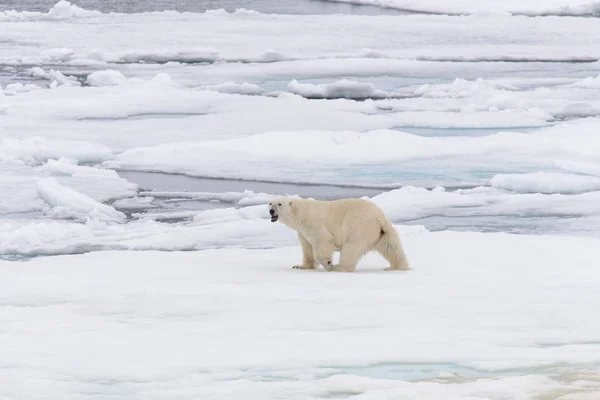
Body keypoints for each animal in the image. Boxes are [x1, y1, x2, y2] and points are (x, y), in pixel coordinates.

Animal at [270, 197, 410, 272]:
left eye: (279, 204)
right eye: (270, 203)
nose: (271, 211)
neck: (300, 213)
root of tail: (379, 218)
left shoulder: (312, 222)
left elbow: (322, 240)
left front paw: (327, 263)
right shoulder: (302, 231)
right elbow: (307, 247)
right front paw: (299, 266)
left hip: (359, 226)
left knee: (352, 248)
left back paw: (339, 267)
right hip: (383, 233)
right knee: (391, 247)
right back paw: (396, 267)